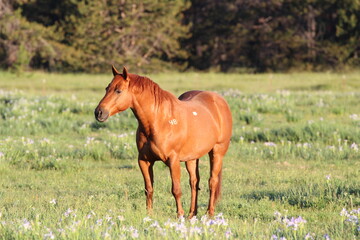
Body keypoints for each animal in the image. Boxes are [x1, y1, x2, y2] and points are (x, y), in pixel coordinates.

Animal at [94, 66, 232, 218]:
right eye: (107, 88)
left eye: (118, 90)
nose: (99, 112)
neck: (159, 121)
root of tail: (218, 100)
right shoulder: (144, 161)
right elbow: (148, 188)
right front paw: (149, 214)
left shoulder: (173, 160)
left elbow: (176, 189)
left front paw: (179, 215)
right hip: (192, 158)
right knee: (194, 182)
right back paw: (192, 214)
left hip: (217, 152)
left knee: (212, 181)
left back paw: (209, 214)